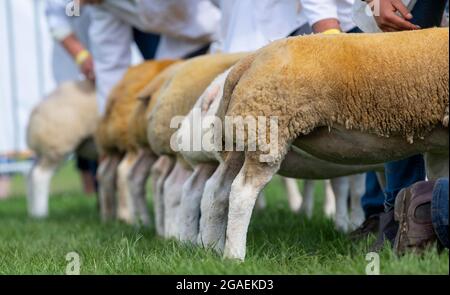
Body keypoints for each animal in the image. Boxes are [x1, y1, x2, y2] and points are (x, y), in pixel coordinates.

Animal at [26, 80, 98, 219]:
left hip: (46, 150)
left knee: (30, 174)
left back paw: (32, 212)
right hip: (58, 144)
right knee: (40, 175)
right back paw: (40, 215)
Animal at [212, 27, 450, 262]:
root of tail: (251, 59)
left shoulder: (439, 149)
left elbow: (436, 182)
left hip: (242, 135)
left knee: (218, 189)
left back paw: (211, 246)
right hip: (268, 130)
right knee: (242, 191)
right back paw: (234, 256)